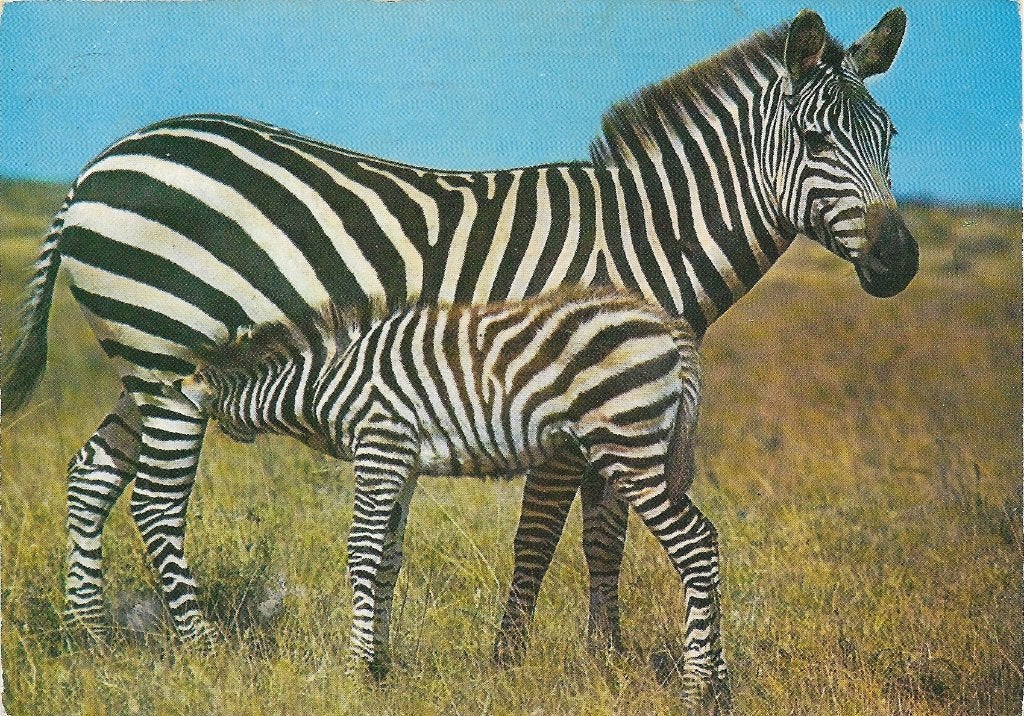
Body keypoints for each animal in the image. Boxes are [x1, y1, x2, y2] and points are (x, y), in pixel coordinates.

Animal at [2, 8, 916, 657]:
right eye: (814, 139)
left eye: (891, 137)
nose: (900, 259)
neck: (637, 237)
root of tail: (100, 163)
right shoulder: (565, 397)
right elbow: (543, 535)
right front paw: (510, 658)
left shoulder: (618, 400)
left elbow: (606, 536)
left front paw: (607, 657)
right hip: (170, 357)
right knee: (157, 501)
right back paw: (200, 649)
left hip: (148, 365)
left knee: (92, 476)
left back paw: (90, 638)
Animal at [175, 286, 720, 700]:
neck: (323, 380)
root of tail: (667, 326)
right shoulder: (403, 462)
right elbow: (388, 557)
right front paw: (379, 666)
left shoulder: (381, 443)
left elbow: (362, 552)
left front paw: (353, 672)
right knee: (707, 540)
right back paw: (721, 684)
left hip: (627, 443)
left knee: (694, 543)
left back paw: (696, 689)